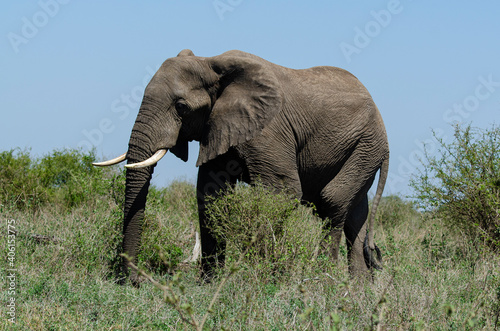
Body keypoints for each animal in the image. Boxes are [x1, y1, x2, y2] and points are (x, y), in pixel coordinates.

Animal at [94, 49, 390, 286]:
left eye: (181, 107)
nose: (133, 282)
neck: (210, 63)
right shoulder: (218, 125)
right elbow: (211, 193)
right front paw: (208, 284)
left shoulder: (269, 130)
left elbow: (281, 191)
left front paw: (265, 282)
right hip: (363, 150)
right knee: (356, 215)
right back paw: (360, 290)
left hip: (366, 145)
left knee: (333, 200)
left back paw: (322, 280)